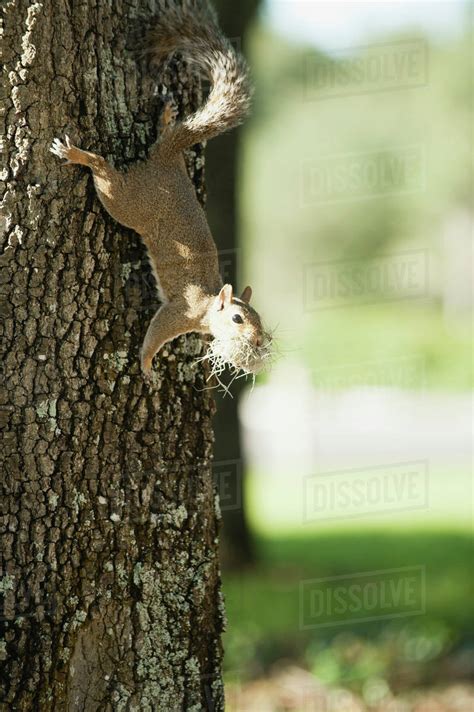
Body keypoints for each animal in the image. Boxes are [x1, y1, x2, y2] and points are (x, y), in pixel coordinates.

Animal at [50, 0, 272, 382]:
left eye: (260, 317)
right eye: (238, 318)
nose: (259, 341)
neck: (207, 308)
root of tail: (168, 159)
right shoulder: (177, 313)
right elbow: (154, 335)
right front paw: (146, 366)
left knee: (162, 135)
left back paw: (167, 116)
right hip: (129, 203)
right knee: (104, 173)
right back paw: (78, 155)